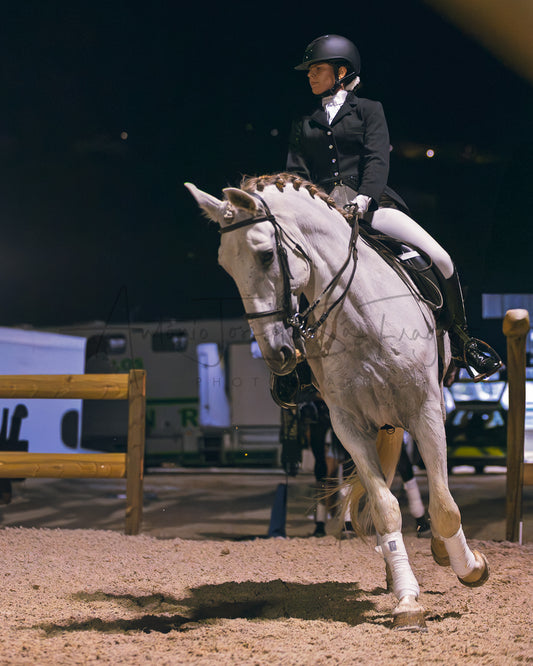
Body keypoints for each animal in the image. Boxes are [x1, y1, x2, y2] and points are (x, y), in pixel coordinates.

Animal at [185, 172, 489, 630]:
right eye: (226, 264)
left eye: (266, 255)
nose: (277, 353)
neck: (363, 318)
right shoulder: (347, 425)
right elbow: (384, 507)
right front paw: (407, 600)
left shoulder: (426, 411)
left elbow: (445, 505)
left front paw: (470, 568)